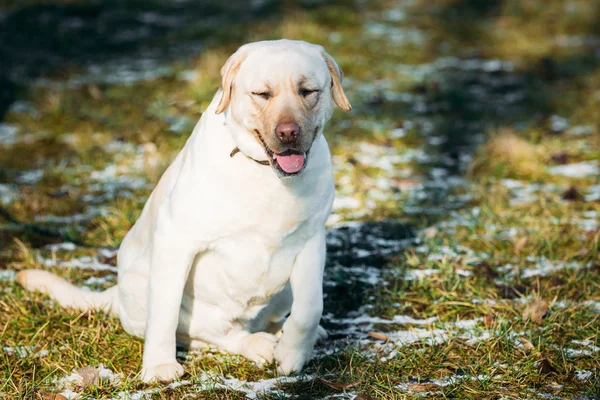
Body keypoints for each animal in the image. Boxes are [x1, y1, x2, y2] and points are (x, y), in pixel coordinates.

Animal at [16, 39, 352, 382]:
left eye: (308, 91)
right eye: (262, 94)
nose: (288, 133)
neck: (266, 175)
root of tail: (117, 294)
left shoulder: (311, 240)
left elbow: (311, 307)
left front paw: (294, 353)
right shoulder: (176, 238)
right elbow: (164, 312)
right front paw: (159, 367)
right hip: (149, 289)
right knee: (213, 334)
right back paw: (257, 343)